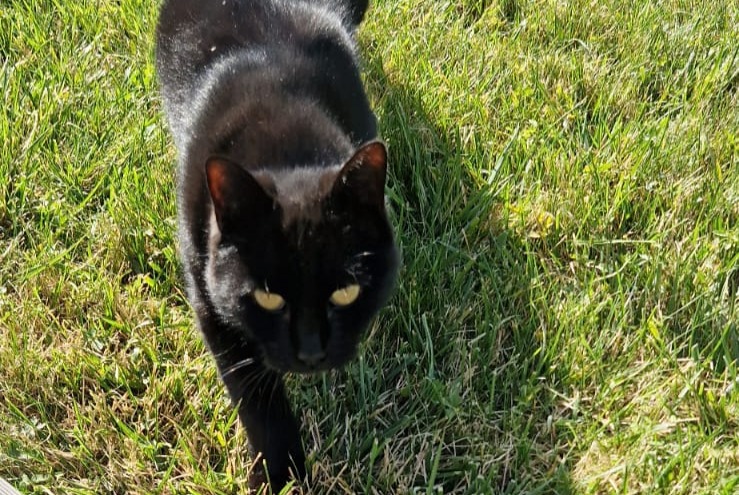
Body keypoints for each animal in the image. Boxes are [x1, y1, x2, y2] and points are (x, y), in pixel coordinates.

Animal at [155, 0, 398, 490]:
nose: (311, 353)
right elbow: (259, 404)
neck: (284, 137)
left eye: (346, 293)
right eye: (269, 298)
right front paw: (281, 475)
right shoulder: (210, 305)